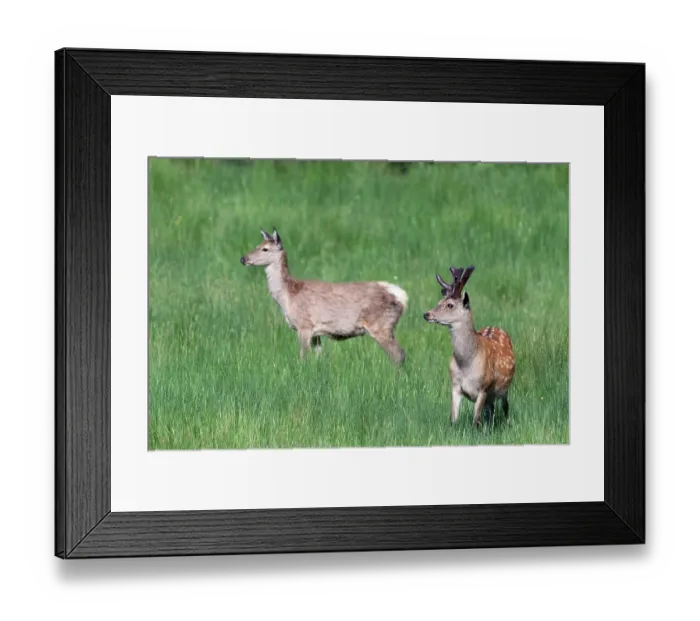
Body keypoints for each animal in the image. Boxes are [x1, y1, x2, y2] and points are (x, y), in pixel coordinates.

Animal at [240, 227, 408, 364]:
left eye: (265, 249)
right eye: (257, 246)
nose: (243, 259)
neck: (288, 296)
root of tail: (402, 297)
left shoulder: (304, 325)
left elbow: (303, 358)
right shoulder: (316, 333)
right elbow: (319, 358)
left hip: (381, 325)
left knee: (398, 354)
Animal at [423, 265, 516, 427]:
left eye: (450, 305)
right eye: (439, 301)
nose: (426, 314)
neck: (466, 364)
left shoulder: (484, 388)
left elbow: (475, 421)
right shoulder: (455, 385)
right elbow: (454, 419)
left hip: (504, 389)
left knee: (505, 407)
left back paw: (508, 423)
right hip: (491, 397)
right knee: (490, 410)